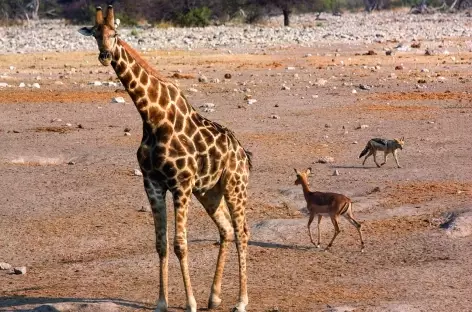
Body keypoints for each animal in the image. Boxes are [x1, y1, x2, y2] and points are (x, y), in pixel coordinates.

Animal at [79, 5, 253, 312]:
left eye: (116, 33)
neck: (152, 118)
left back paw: (241, 301)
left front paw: (190, 303)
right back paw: (214, 297)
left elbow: (180, 245)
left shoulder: (180, 184)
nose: (105, 56)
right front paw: (162, 302)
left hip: (234, 186)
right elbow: (160, 244)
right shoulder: (153, 183)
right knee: (226, 229)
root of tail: (243, 153)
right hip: (209, 191)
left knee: (242, 231)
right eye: (96, 34)